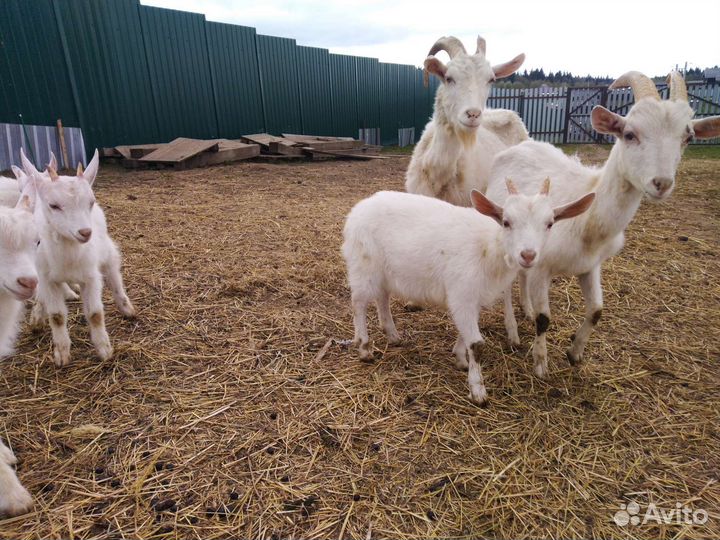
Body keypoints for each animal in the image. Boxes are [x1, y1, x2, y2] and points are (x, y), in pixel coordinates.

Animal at [21, 150, 136, 366]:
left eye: (90, 202)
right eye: (54, 205)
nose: (85, 232)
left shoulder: (91, 276)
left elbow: (95, 314)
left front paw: (104, 350)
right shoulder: (47, 279)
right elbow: (57, 316)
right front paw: (61, 354)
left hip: (107, 252)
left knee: (114, 275)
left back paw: (126, 307)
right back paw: (37, 318)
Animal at [342, 182, 595, 404]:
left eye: (550, 224)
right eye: (506, 222)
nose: (528, 255)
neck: (490, 247)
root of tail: (359, 208)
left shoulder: (473, 297)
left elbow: (466, 334)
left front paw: (461, 358)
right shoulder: (462, 293)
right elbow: (477, 344)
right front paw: (478, 391)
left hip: (383, 271)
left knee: (382, 297)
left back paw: (392, 335)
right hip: (363, 264)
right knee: (358, 303)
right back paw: (364, 347)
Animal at [486, 71, 720, 377]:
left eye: (688, 137)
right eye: (629, 134)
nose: (661, 183)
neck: (590, 221)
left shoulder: (590, 265)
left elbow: (597, 310)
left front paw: (574, 353)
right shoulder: (543, 267)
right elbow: (544, 318)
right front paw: (540, 363)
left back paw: (525, 310)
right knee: (505, 287)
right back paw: (513, 331)